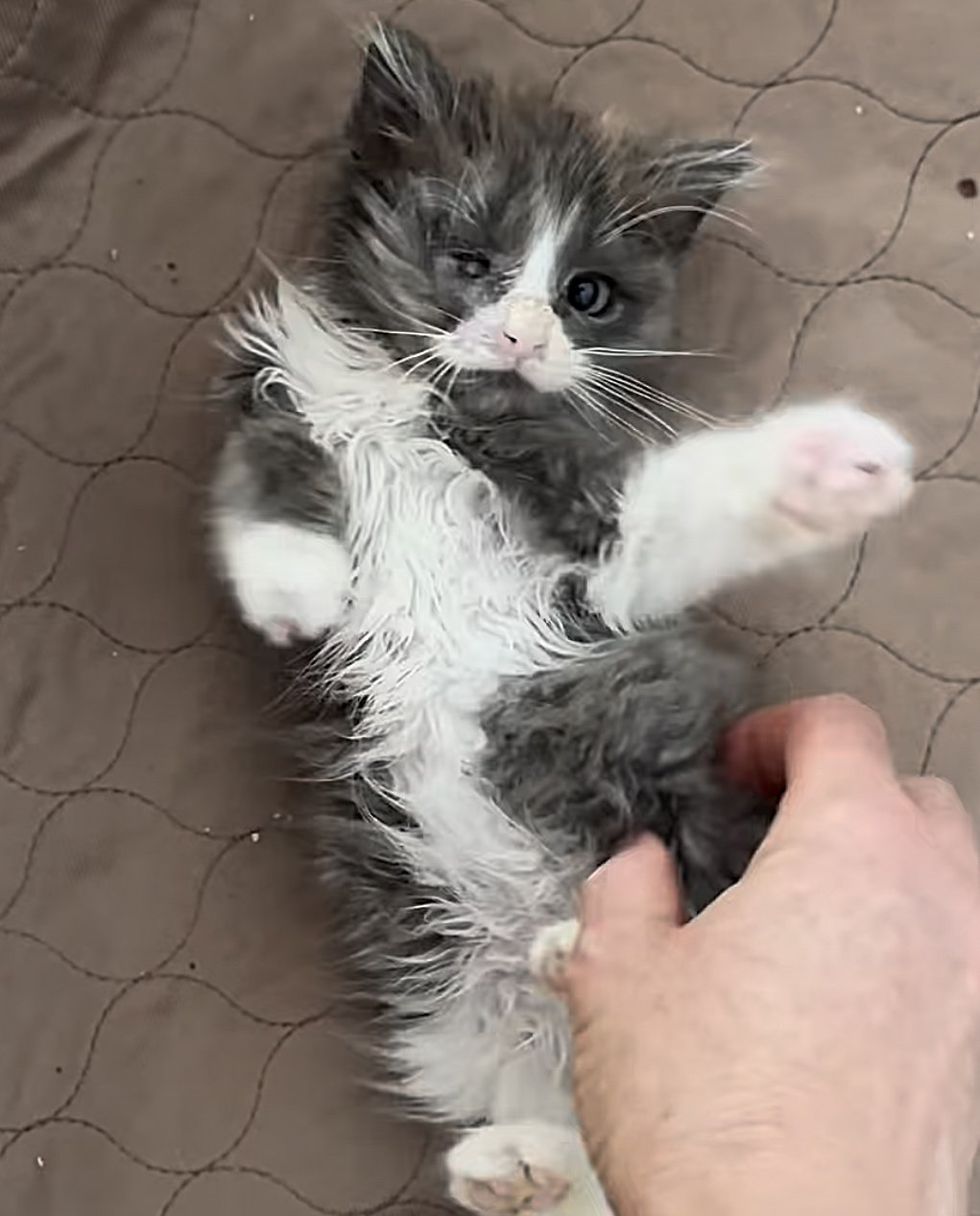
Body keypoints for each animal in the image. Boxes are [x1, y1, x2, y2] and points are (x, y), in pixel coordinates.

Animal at [211, 26, 919, 1216]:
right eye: (471, 262)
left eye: (587, 294)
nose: (522, 332)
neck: (445, 411)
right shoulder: (280, 388)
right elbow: (261, 466)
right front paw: (293, 577)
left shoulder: (598, 577)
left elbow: (672, 517)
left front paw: (823, 466)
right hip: (450, 1014)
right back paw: (520, 1160)